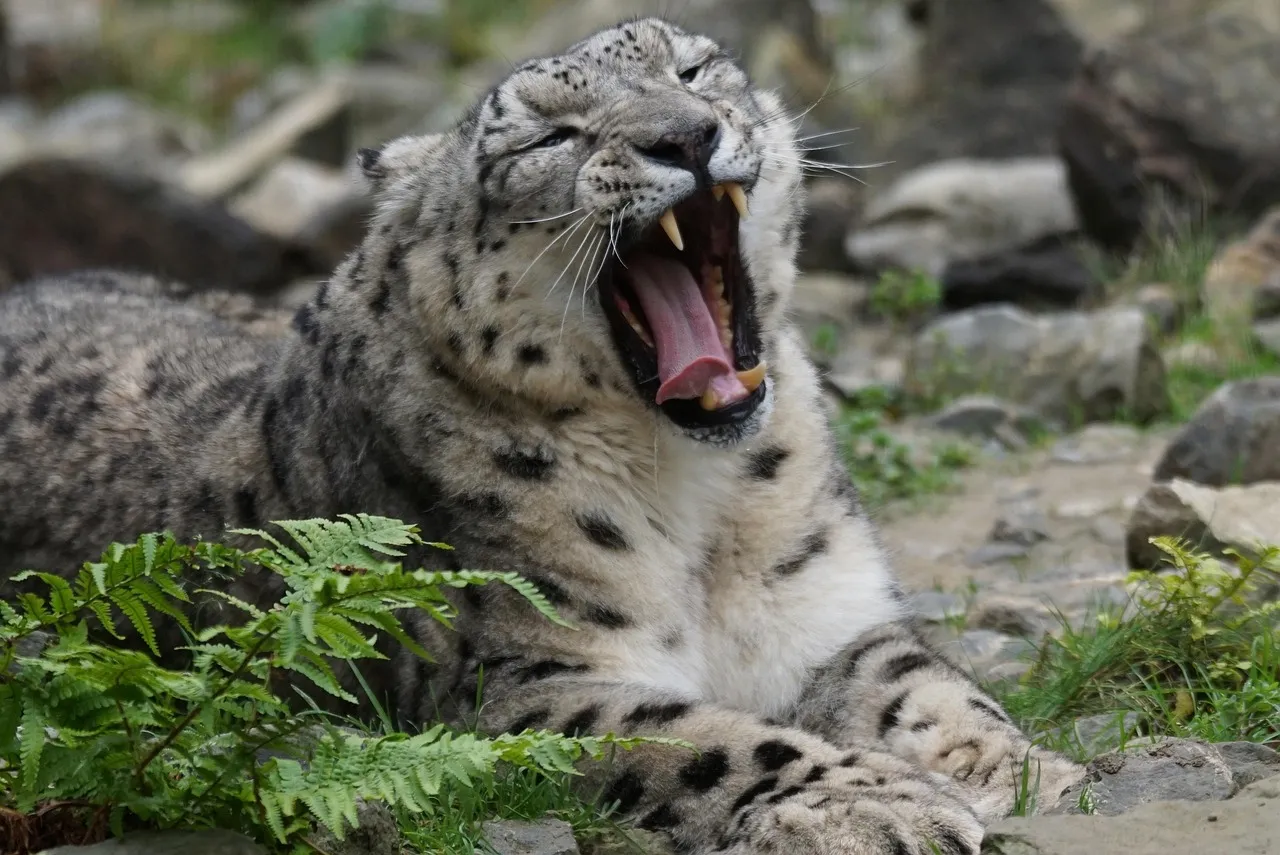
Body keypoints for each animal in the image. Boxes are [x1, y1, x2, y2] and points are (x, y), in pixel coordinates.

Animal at [0, 17, 1084, 854]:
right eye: (549, 137)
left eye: (692, 70)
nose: (688, 136)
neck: (707, 505)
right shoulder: (520, 679)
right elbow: (700, 738)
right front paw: (875, 802)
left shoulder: (826, 613)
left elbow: (925, 683)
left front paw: (1022, 769)